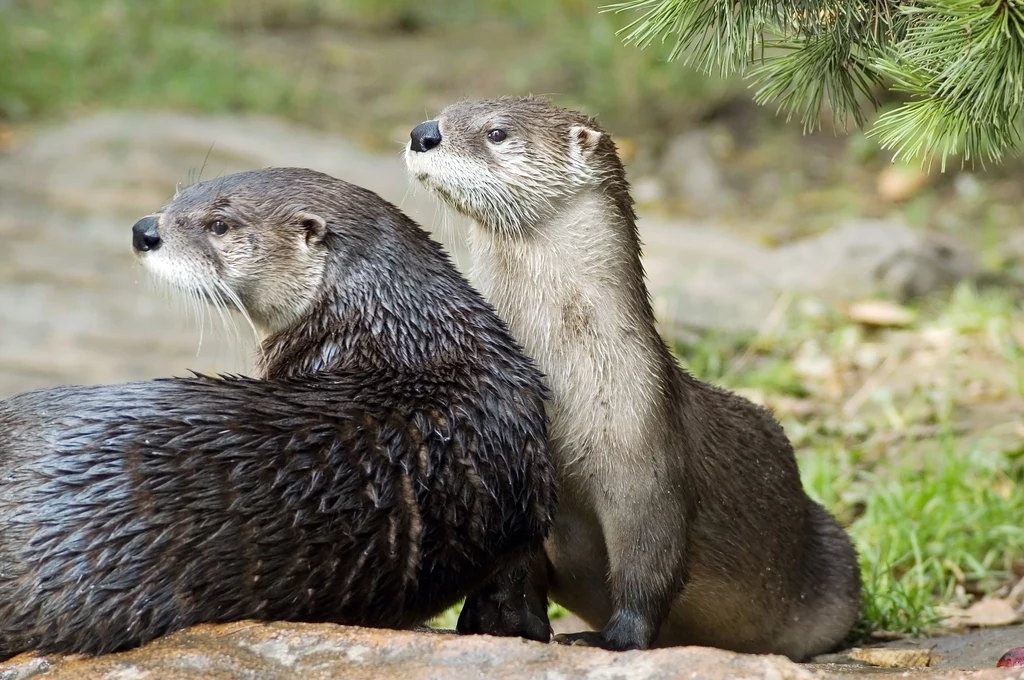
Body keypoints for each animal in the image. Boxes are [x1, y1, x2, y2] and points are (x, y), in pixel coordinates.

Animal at [403, 95, 860, 659]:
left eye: (497, 133)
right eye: (446, 110)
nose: (425, 133)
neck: (569, 382)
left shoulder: (647, 455)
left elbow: (649, 567)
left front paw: (609, 639)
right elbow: (517, 570)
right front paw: (500, 624)